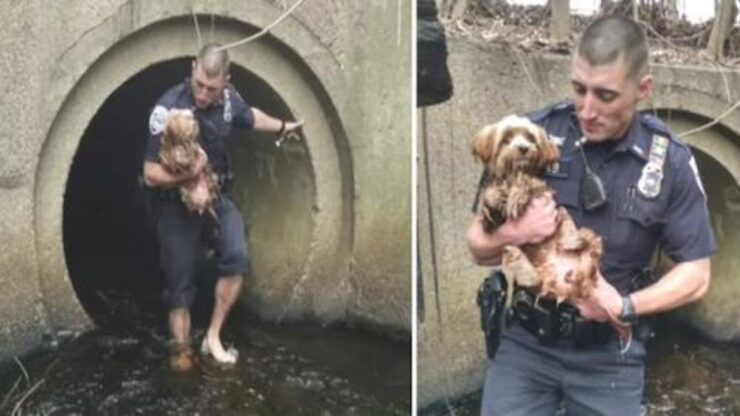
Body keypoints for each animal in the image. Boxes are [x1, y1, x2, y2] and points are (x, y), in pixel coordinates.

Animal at [472, 115, 604, 304]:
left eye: (530, 138)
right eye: (506, 139)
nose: (523, 148)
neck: (512, 173)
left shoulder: (542, 191)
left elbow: (526, 182)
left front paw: (516, 193)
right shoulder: (492, 224)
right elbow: (490, 204)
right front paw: (493, 199)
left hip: (572, 229)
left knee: (587, 240)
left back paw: (573, 241)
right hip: (538, 274)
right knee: (534, 279)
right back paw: (517, 257)